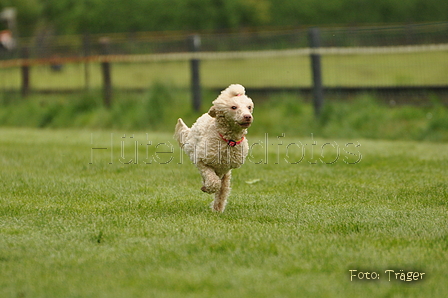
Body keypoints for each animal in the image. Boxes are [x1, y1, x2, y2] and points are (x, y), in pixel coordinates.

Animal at [174, 83, 254, 212]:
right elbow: (214, 182)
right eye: (233, 107)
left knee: (223, 191)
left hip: (225, 174)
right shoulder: (201, 161)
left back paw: (217, 209)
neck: (228, 140)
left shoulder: (226, 169)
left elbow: (221, 190)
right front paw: (209, 188)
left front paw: (215, 204)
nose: (247, 116)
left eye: (249, 107)